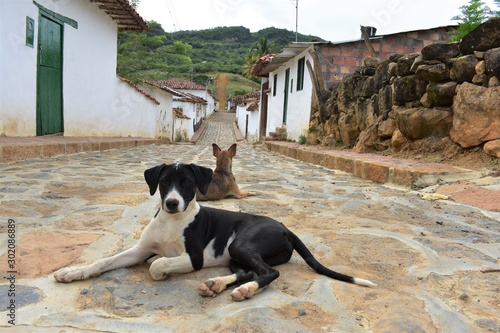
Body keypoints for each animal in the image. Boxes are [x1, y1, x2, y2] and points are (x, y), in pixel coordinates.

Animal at [54, 162, 376, 300]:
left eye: (187, 183)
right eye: (164, 182)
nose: (172, 203)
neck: (172, 222)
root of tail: (285, 227)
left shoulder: (193, 258)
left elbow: (157, 265)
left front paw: (162, 271)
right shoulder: (139, 250)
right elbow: (103, 261)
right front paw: (72, 272)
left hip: (241, 245)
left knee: (268, 273)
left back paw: (243, 290)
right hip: (236, 253)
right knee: (249, 271)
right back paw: (217, 284)